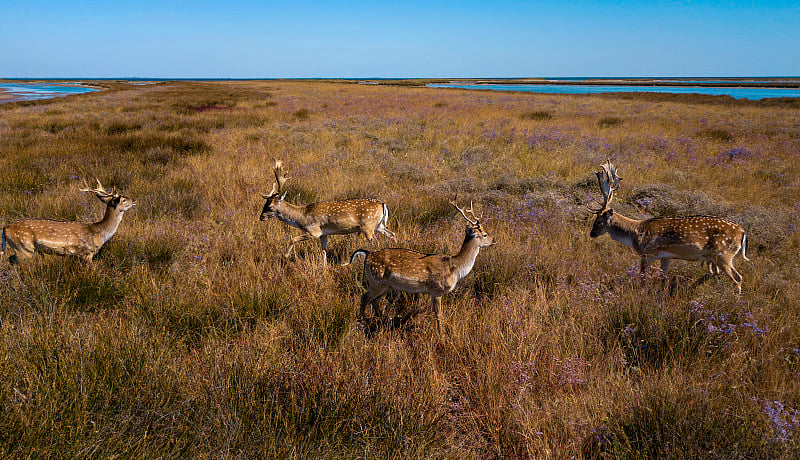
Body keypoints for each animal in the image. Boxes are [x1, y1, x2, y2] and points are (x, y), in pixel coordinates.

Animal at [1, 181, 136, 264]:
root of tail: (5, 228)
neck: (100, 233)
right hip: (24, 247)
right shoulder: (86, 253)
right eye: (123, 200)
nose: (134, 199)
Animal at [260, 160, 398, 264]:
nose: (261, 217)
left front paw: (285, 256)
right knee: (392, 234)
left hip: (368, 226)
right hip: (379, 225)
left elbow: (293, 239)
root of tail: (383, 204)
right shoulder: (323, 234)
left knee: (376, 242)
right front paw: (324, 267)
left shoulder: (314, 231)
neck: (302, 217)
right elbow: (324, 251)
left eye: (270, 207)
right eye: (264, 204)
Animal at [342, 199, 494, 332]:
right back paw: (360, 323)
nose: (494, 240)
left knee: (374, 301)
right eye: (485, 234)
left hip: (385, 285)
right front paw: (441, 335)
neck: (455, 268)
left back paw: (383, 322)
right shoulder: (436, 290)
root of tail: (367, 254)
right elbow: (439, 315)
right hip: (376, 281)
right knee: (364, 298)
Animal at [588, 160, 752, 292]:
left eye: (599, 221)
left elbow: (642, 277)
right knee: (716, 273)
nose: (592, 234)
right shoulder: (665, 256)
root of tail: (743, 232)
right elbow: (663, 277)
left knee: (738, 278)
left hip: (724, 255)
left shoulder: (648, 254)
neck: (635, 234)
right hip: (714, 257)